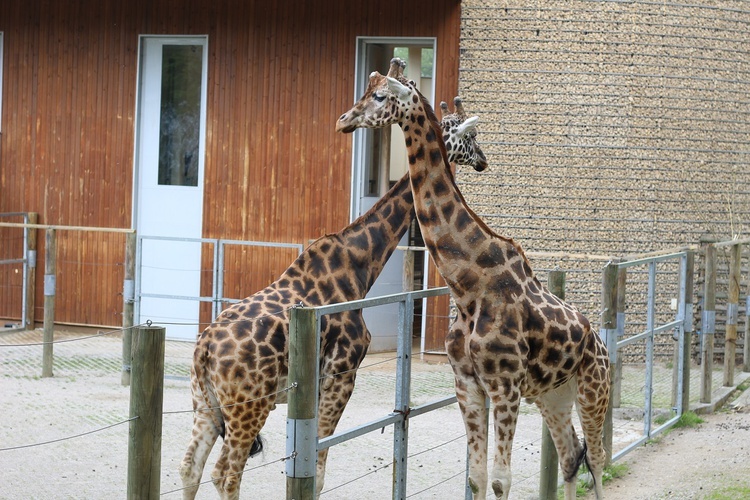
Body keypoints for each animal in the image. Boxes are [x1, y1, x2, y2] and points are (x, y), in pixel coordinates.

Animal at [179, 65, 490, 496]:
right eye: (471, 136)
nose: (483, 160)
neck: (360, 262)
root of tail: (204, 349)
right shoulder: (342, 373)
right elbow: (320, 471)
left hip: (204, 402)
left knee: (190, 467)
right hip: (248, 405)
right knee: (225, 472)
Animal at [338, 59, 612, 500]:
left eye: (380, 96)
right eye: (365, 90)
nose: (343, 120)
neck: (469, 285)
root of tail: (601, 344)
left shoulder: (505, 384)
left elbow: (501, 479)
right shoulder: (467, 382)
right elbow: (477, 476)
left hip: (593, 388)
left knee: (598, 457)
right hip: (554, 393)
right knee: (572, 454)